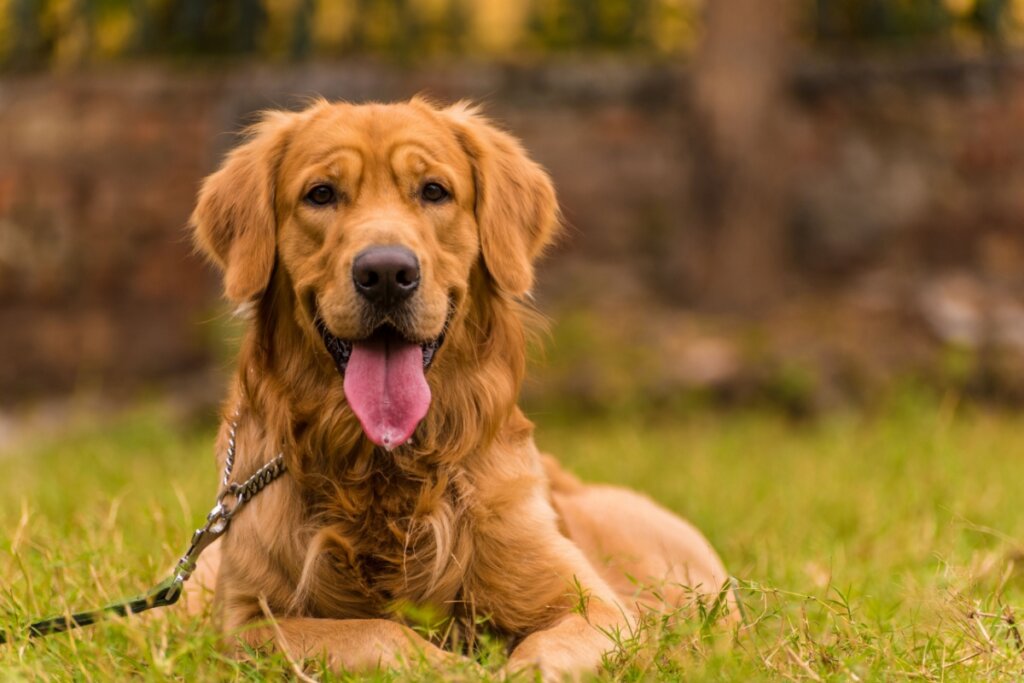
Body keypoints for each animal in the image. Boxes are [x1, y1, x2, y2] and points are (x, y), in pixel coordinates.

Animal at [182, 98, 729, 679]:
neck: (386, 468)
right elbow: (372, 631)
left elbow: (546, 650)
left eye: (434, 191)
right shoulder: (246, 624)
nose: (386, 272)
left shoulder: (595, 606)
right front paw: (452, 667)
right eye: (321, 194)